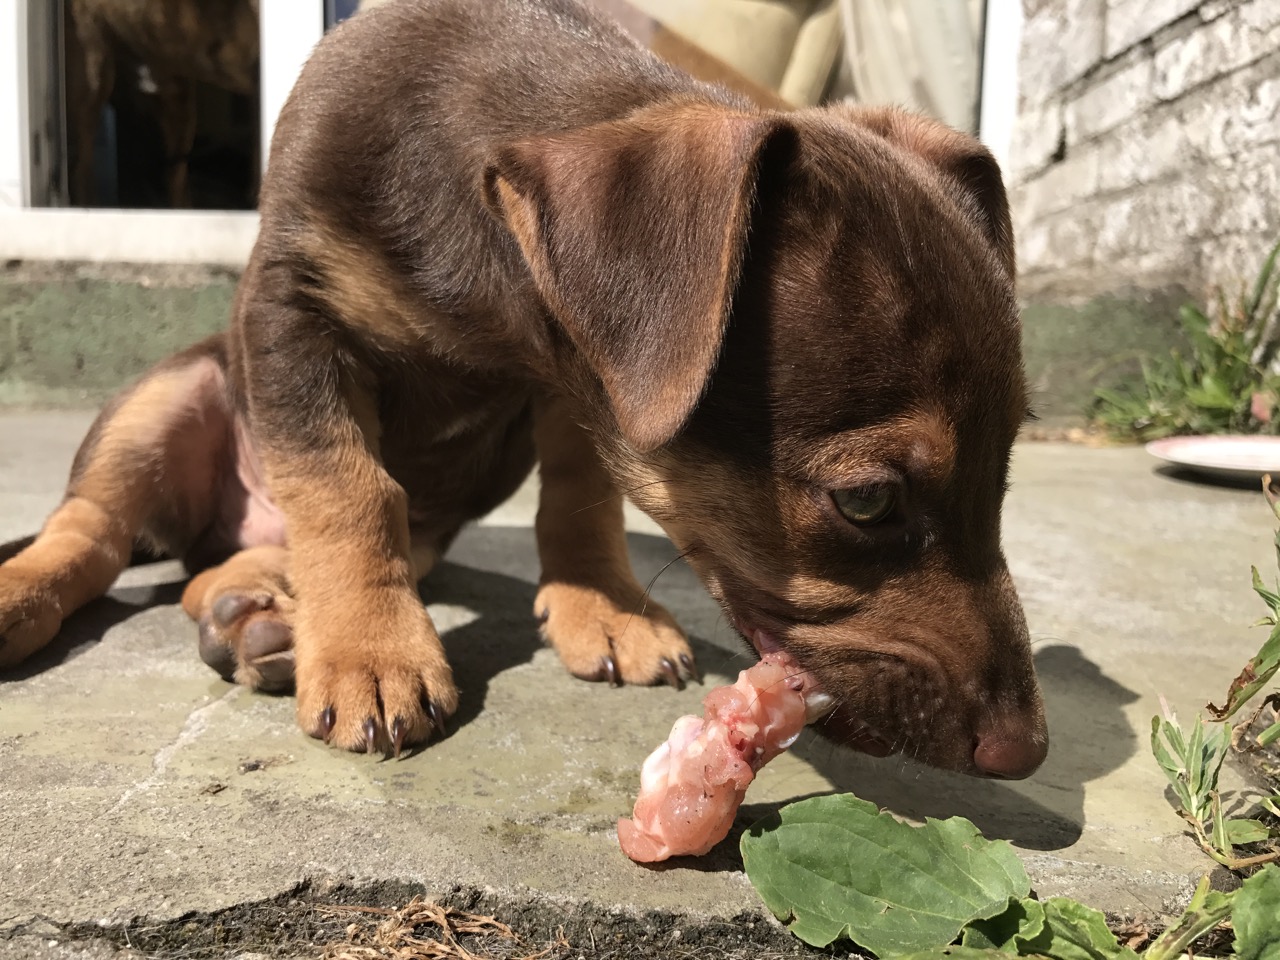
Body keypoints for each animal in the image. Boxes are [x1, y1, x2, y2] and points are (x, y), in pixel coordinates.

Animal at [0, 0, 1049, 783]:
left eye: (1007, 474)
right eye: (865, 501)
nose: (1027, 752)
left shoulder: (578, 385)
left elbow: (579, 497)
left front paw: (605, 608)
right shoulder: (292, 309)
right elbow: (344, 485)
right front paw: (374, 652)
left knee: (221, 566)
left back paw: (257, 611)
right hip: (166, 397)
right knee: (93, 531)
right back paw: (40, 592)